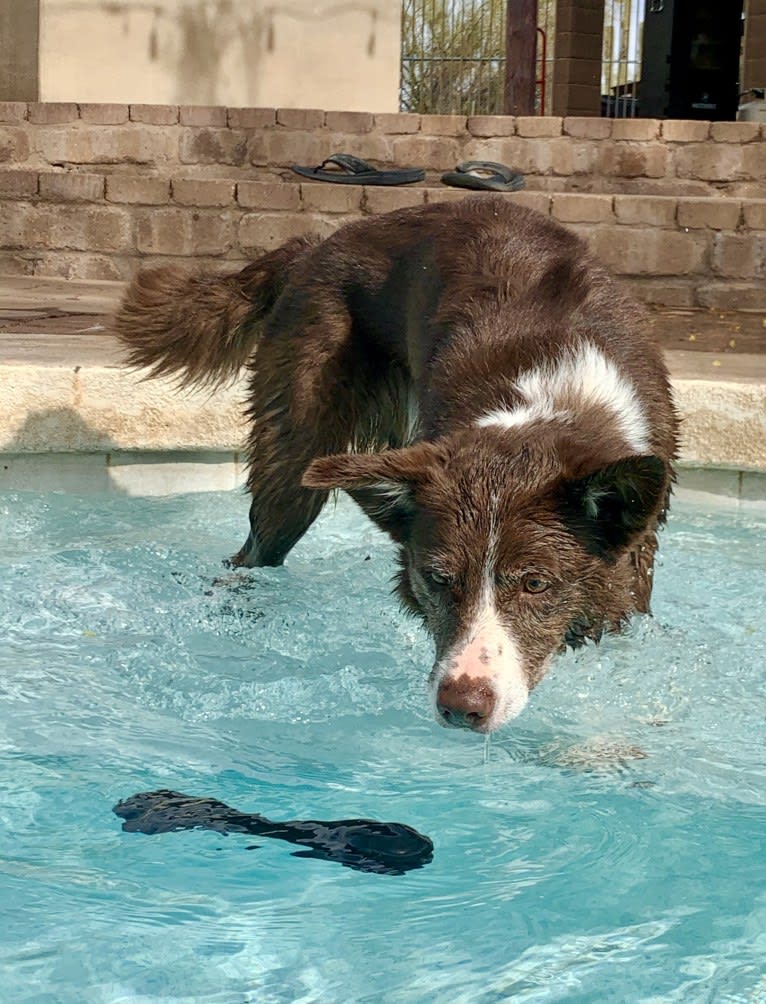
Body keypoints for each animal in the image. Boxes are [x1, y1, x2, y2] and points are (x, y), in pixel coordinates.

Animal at [113, 195, 678, 734]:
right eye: (438, 577)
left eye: (536, 583)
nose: (461, 709)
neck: (545, 400)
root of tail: (316, 245)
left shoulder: (635, 564)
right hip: (295, 462)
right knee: (253, 551)